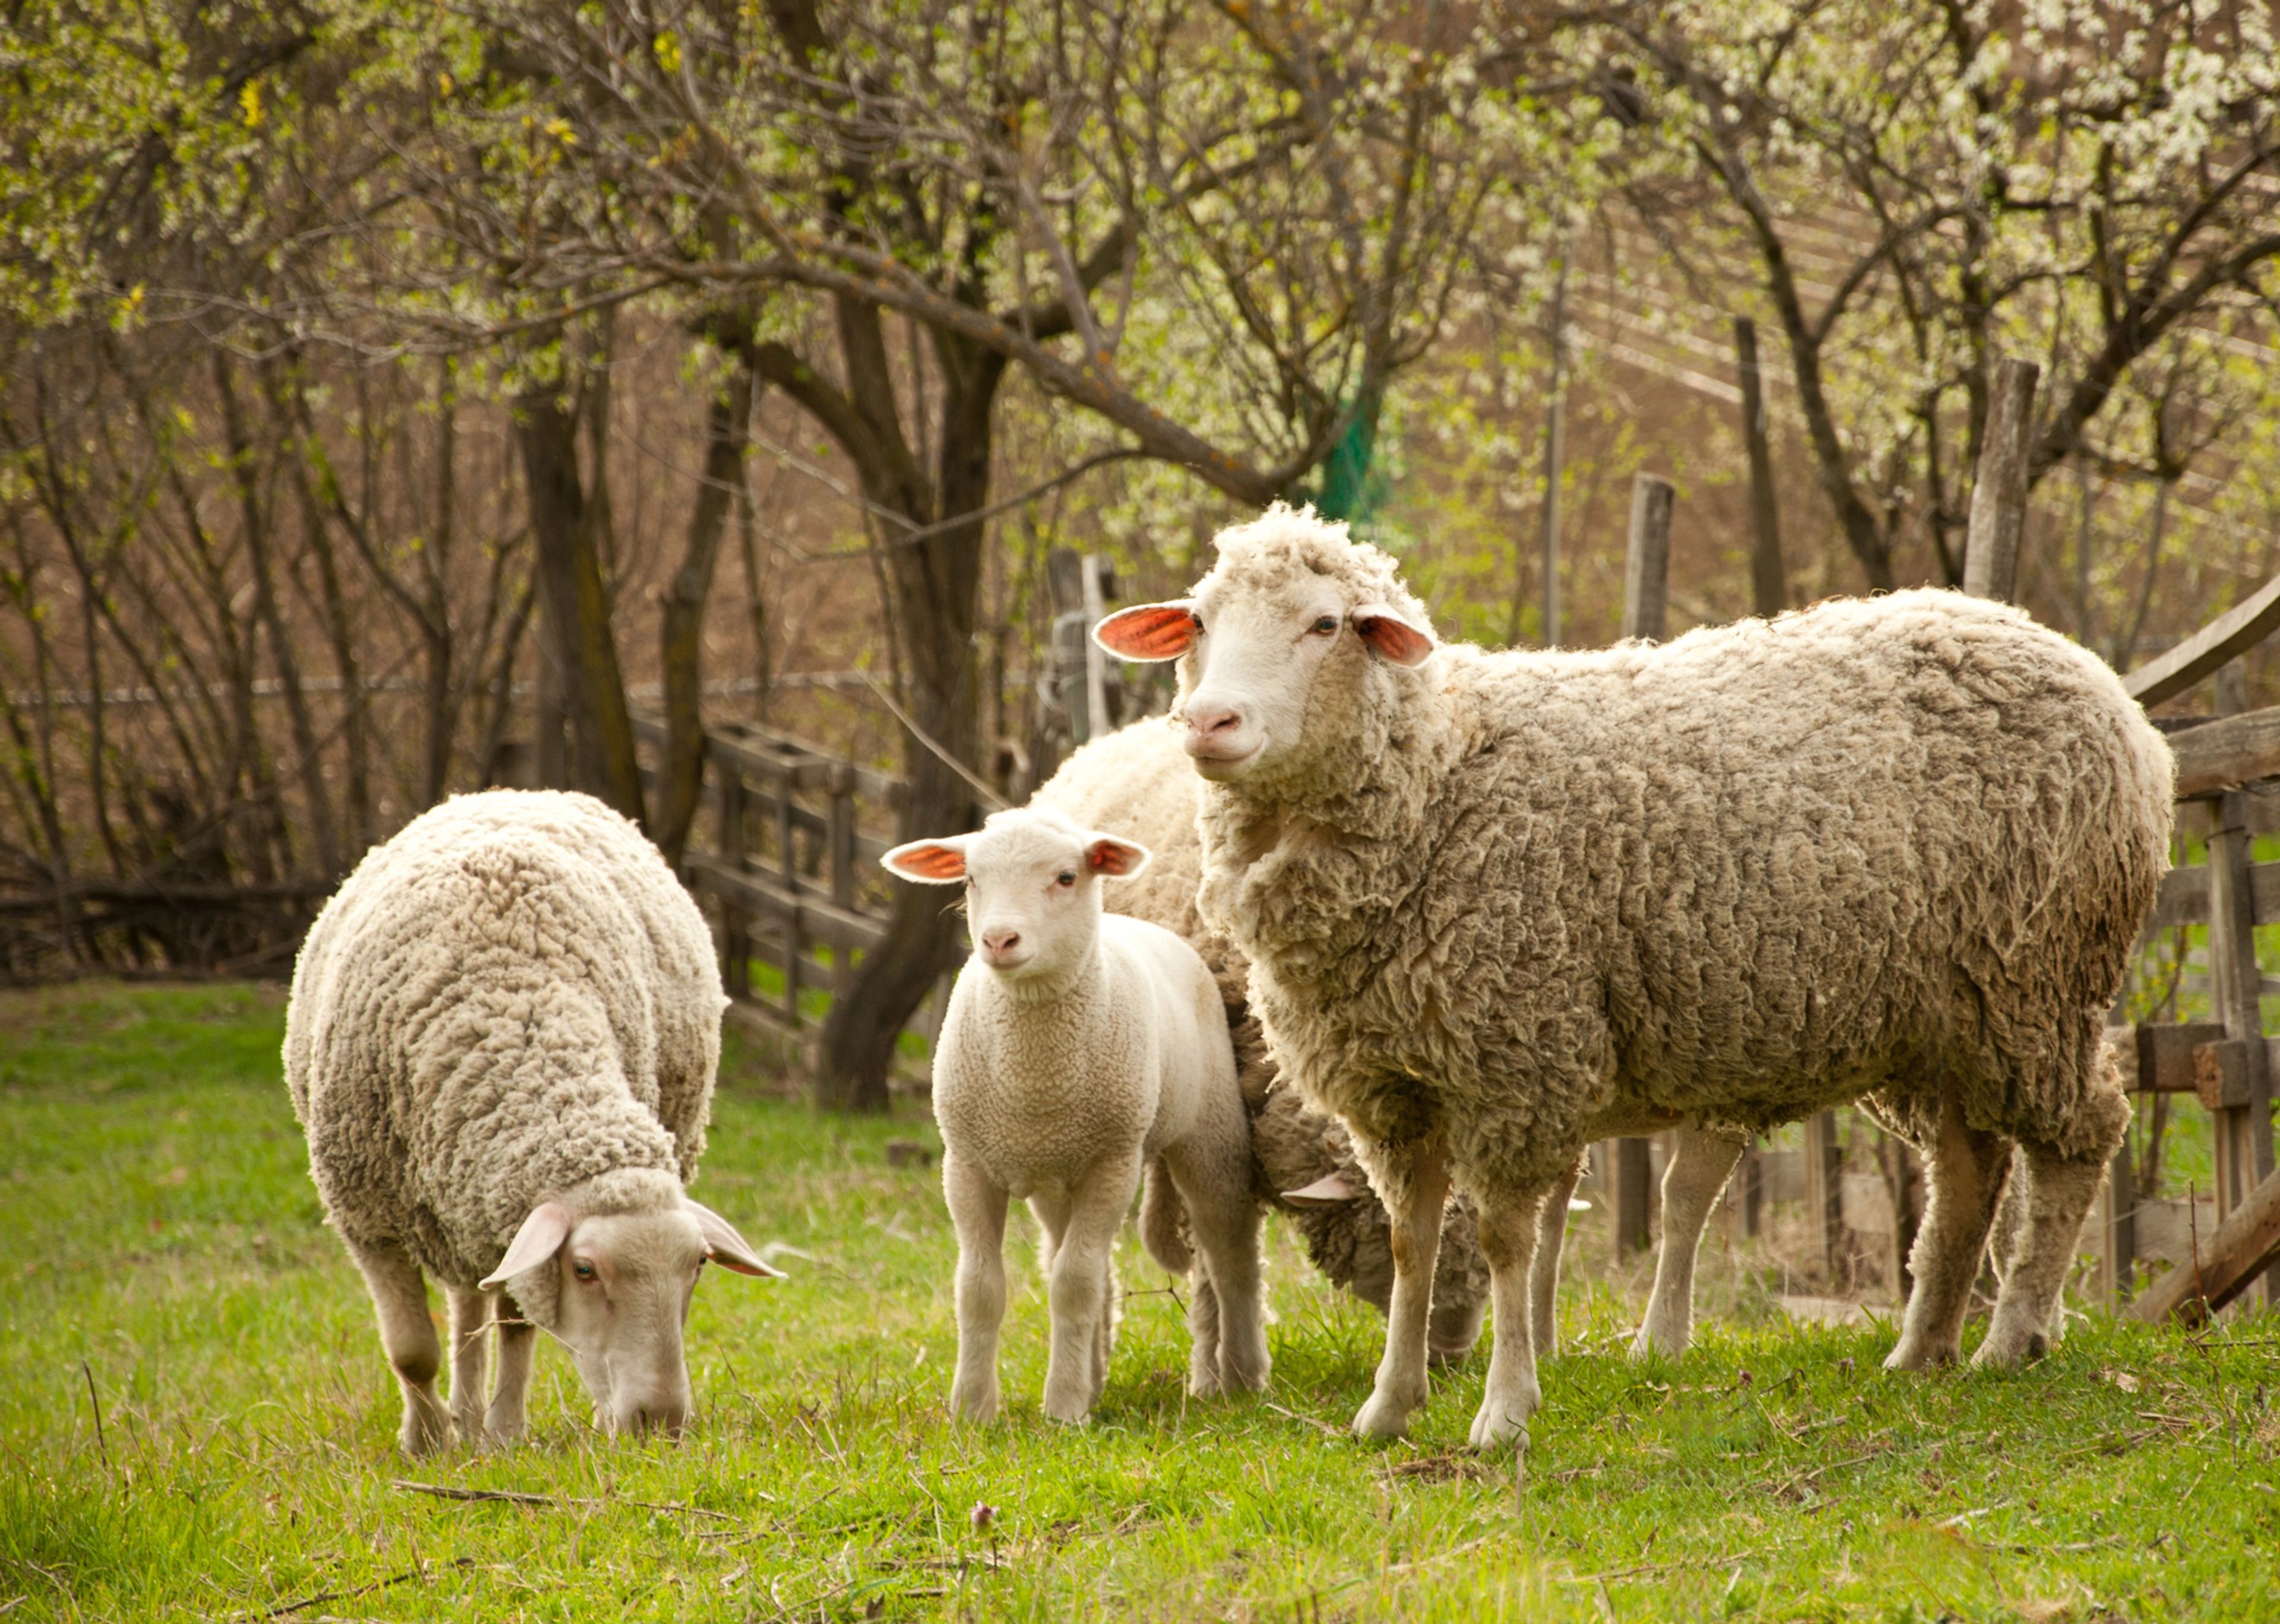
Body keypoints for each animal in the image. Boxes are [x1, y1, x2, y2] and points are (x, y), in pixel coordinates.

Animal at [880, 807, 1268, 1423]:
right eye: (970, 879)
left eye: (1066, 878)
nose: (998, 940)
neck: (1035, 1077)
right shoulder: (967, 1165)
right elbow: (980, 1287)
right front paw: (972, 1409)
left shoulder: (1113, 1162)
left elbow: (1074, 1284)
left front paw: (1062, 1409)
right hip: (1056, 1180)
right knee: (1095, 1265)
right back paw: (1095, 1378)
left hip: (1210, 1134)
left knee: (1230, 1253)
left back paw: (1244, 1376)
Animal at [1098, 504, 2170, 1450]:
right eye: (1199, 621)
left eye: (1325, 625)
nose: (1210, 721)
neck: (1439, 781)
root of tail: (2100, 682)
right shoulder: (1391, 1089)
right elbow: (1413, 1243)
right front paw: (1389, 1410)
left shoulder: (1515, 1059)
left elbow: (1506, 1243)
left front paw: (1503, 1413)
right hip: (1943, 1022)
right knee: (1969, 1168)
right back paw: (1922, 1351)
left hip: (2040, 982)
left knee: (2080, 1138)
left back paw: (2012, 1337)